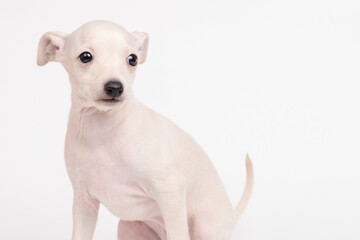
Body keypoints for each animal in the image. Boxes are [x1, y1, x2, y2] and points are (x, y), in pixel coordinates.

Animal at [36, 21, 253, 240]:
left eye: (132, 59)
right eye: (85, 56)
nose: (115, 87)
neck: (101, 130)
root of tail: (230, 217)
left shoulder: (170, 187)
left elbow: (178, 231)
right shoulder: (83, 202)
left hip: (205, 225)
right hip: (129, 227)